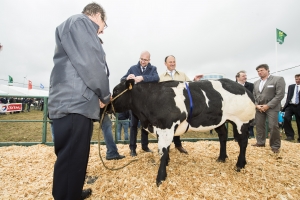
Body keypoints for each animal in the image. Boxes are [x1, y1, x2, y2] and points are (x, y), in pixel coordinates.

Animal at [109, 78, 255, 186]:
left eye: (116, 90)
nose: (106, 106)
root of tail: (246, 89)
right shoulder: (163, 129)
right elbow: (166, 149)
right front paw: (167, 163)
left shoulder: (166, 127)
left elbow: (163, 151)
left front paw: (160, 178)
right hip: (219, 120)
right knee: (223, 136)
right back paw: (221, 158)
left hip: (241, 121)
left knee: (243, 142)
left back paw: (240, 165)